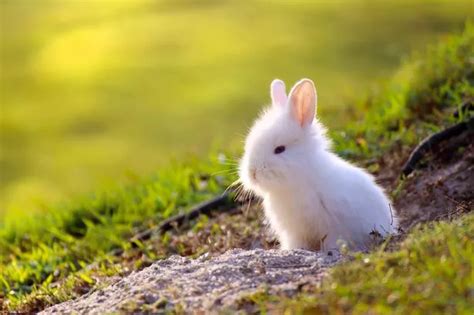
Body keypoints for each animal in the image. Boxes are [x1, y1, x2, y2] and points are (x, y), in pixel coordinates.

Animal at [239, 79, 398, 252]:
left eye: (279, 149)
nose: (252, 172)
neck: (296, 183)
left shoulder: (334, 226)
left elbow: (333, 241)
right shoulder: (295, 233)